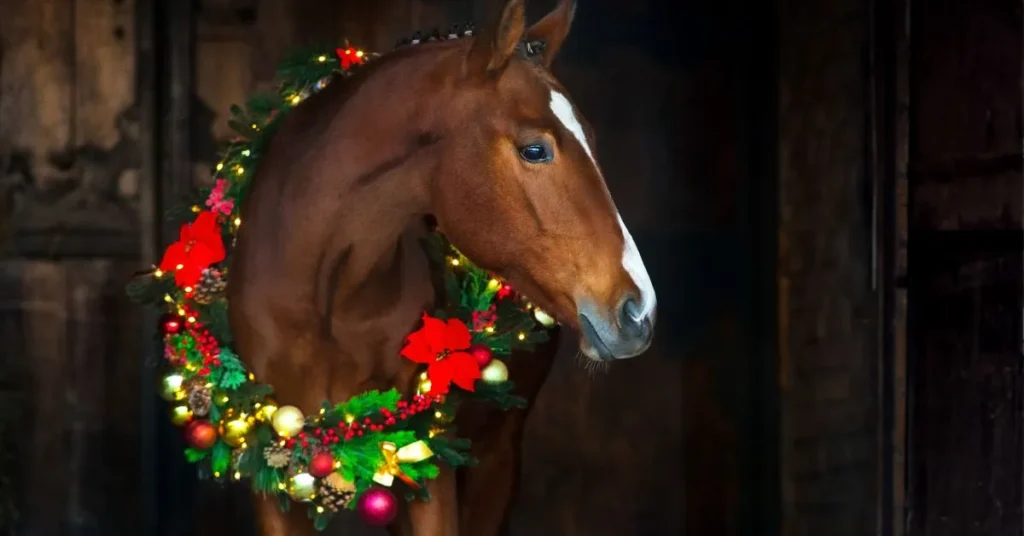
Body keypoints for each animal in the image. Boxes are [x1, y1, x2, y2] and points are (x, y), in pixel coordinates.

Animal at [226, 0, 657, 534]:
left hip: (495, 461)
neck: (324, 292)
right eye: (535, 149)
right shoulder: (271, 480)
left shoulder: (431, 466)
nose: (639, 311)